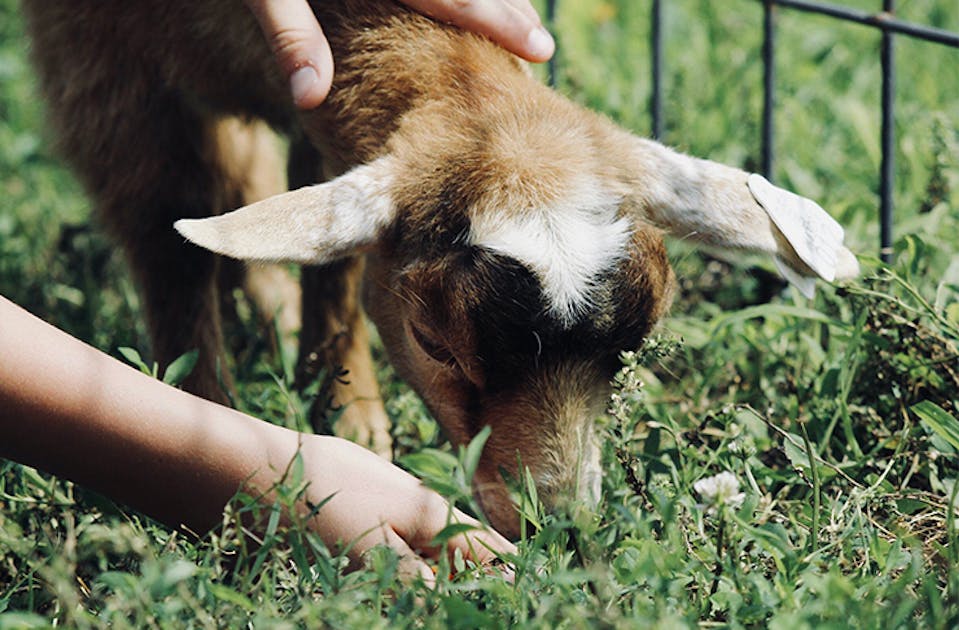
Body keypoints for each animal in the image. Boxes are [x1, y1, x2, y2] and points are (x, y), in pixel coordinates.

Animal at [26, 0, 860, 540]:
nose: (558, 528)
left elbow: (330, 255)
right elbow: (164, 235)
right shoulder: (97, 61)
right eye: (434, 344)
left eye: (630, 351)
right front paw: (206, 409)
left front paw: (346, 409)